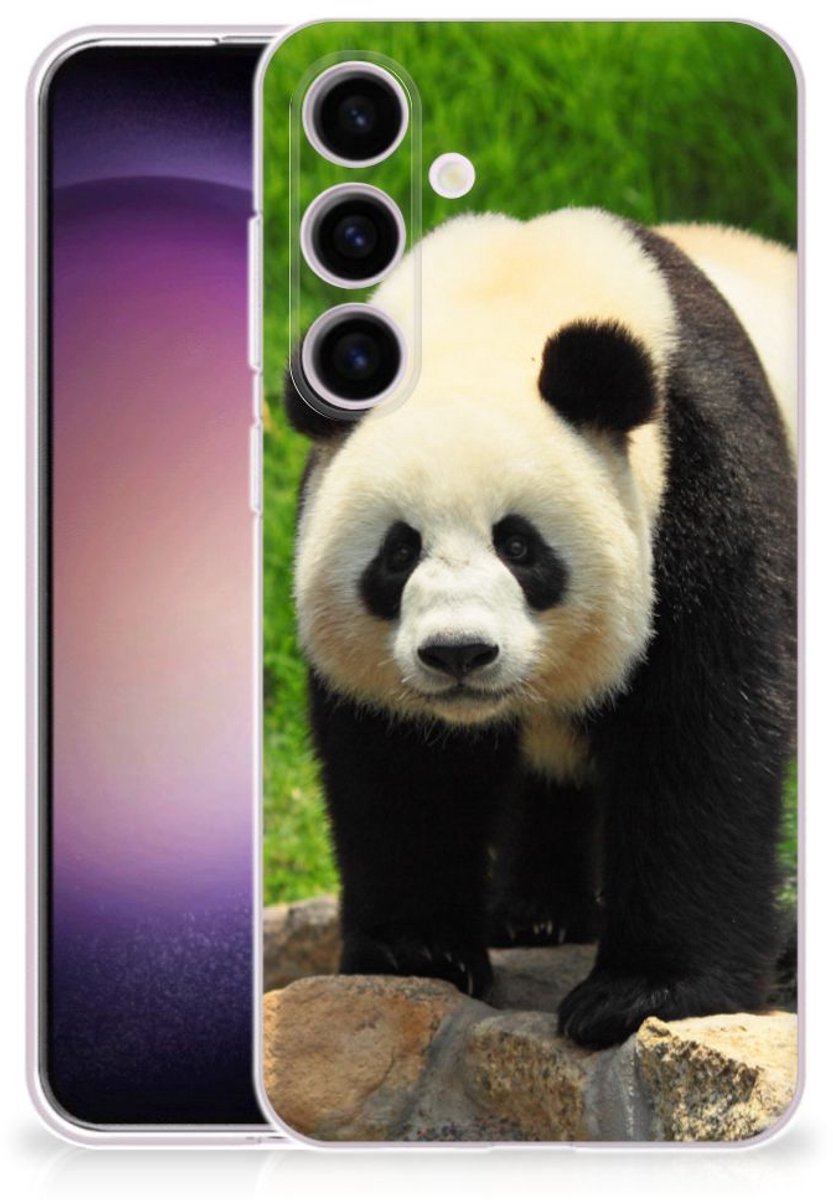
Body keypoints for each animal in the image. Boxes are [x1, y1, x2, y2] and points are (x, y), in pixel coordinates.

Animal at [282, 209, 797, 1049]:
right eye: (398, 552)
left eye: (519, 546)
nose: (458, 653)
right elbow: (401, 764)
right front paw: (416, 951)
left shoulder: (704, 478)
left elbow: (701, 732)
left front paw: (641, 993)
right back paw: (535, 914)